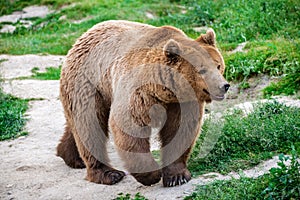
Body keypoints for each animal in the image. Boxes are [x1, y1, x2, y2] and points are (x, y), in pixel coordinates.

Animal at [56, 19, 230, 187]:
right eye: (202, 70)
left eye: (218, 65)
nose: (224, 86)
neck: (166, 90)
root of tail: (82, 37)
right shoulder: (138, 89)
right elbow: (130, 126)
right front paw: (151, 175)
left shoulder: (183, 101)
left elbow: (180, 130)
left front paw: (176, 177)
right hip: (89, 83)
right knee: (89, 125)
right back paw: (109, 174)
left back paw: (71, 157)